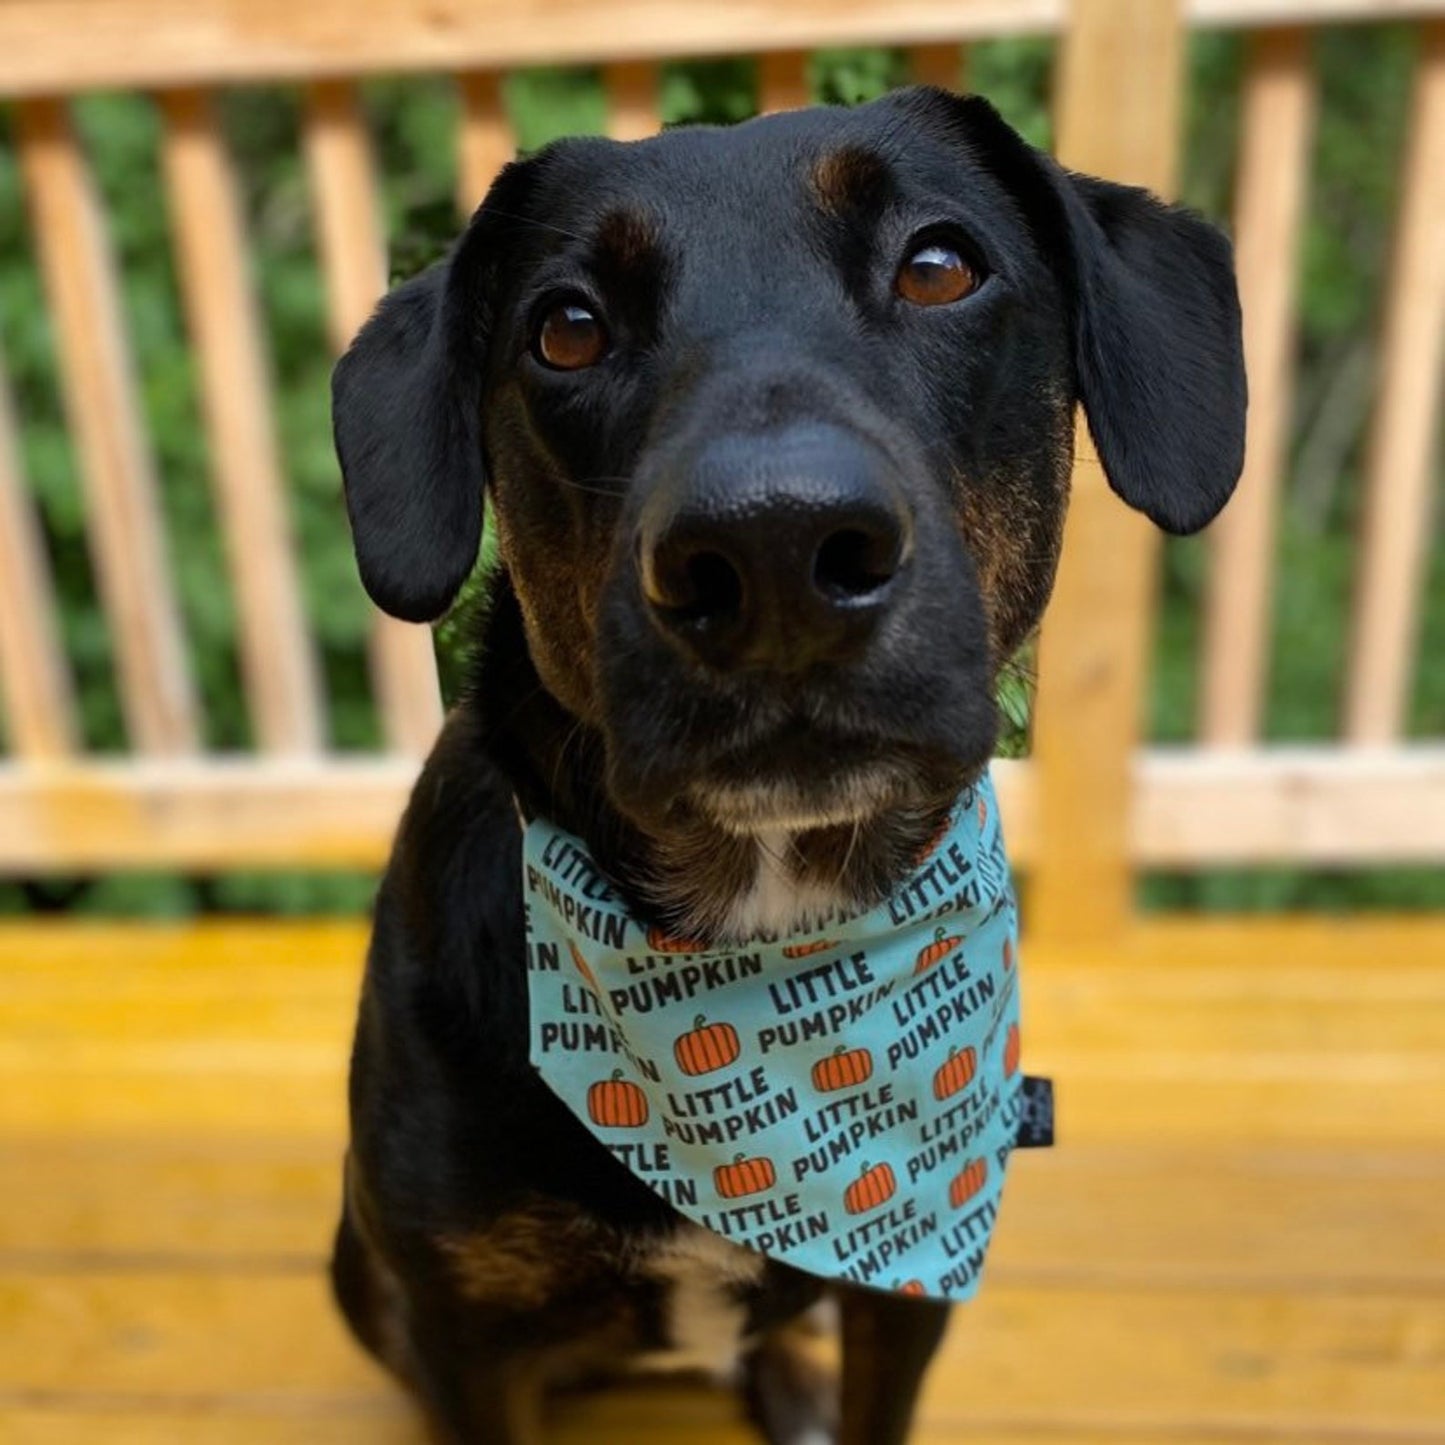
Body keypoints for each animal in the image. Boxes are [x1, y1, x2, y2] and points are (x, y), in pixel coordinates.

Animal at [328, 90, 1242, 1445]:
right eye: (565, 327)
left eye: (938, 265)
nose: (770, 550)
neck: (762, 940)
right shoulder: (464, 1321)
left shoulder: (908, 1276)